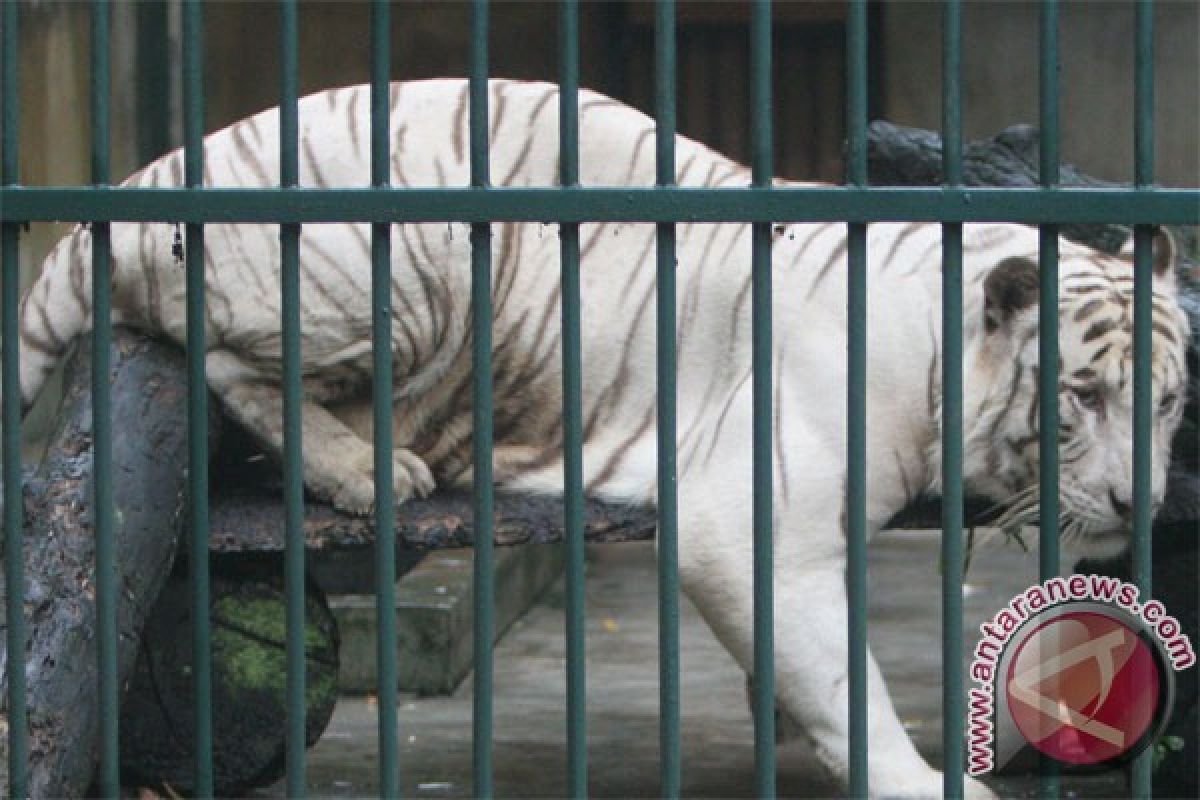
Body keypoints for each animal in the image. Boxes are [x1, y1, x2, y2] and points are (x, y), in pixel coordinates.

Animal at [16, 79, 1190, 796]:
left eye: (1170, 402)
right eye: (1082, 397)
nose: (1138, 502)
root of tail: (143, 177)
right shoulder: (752, 521)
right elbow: (840, 672)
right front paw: (919, 777)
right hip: (402, 267)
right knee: (220, 359)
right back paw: (371, 468)